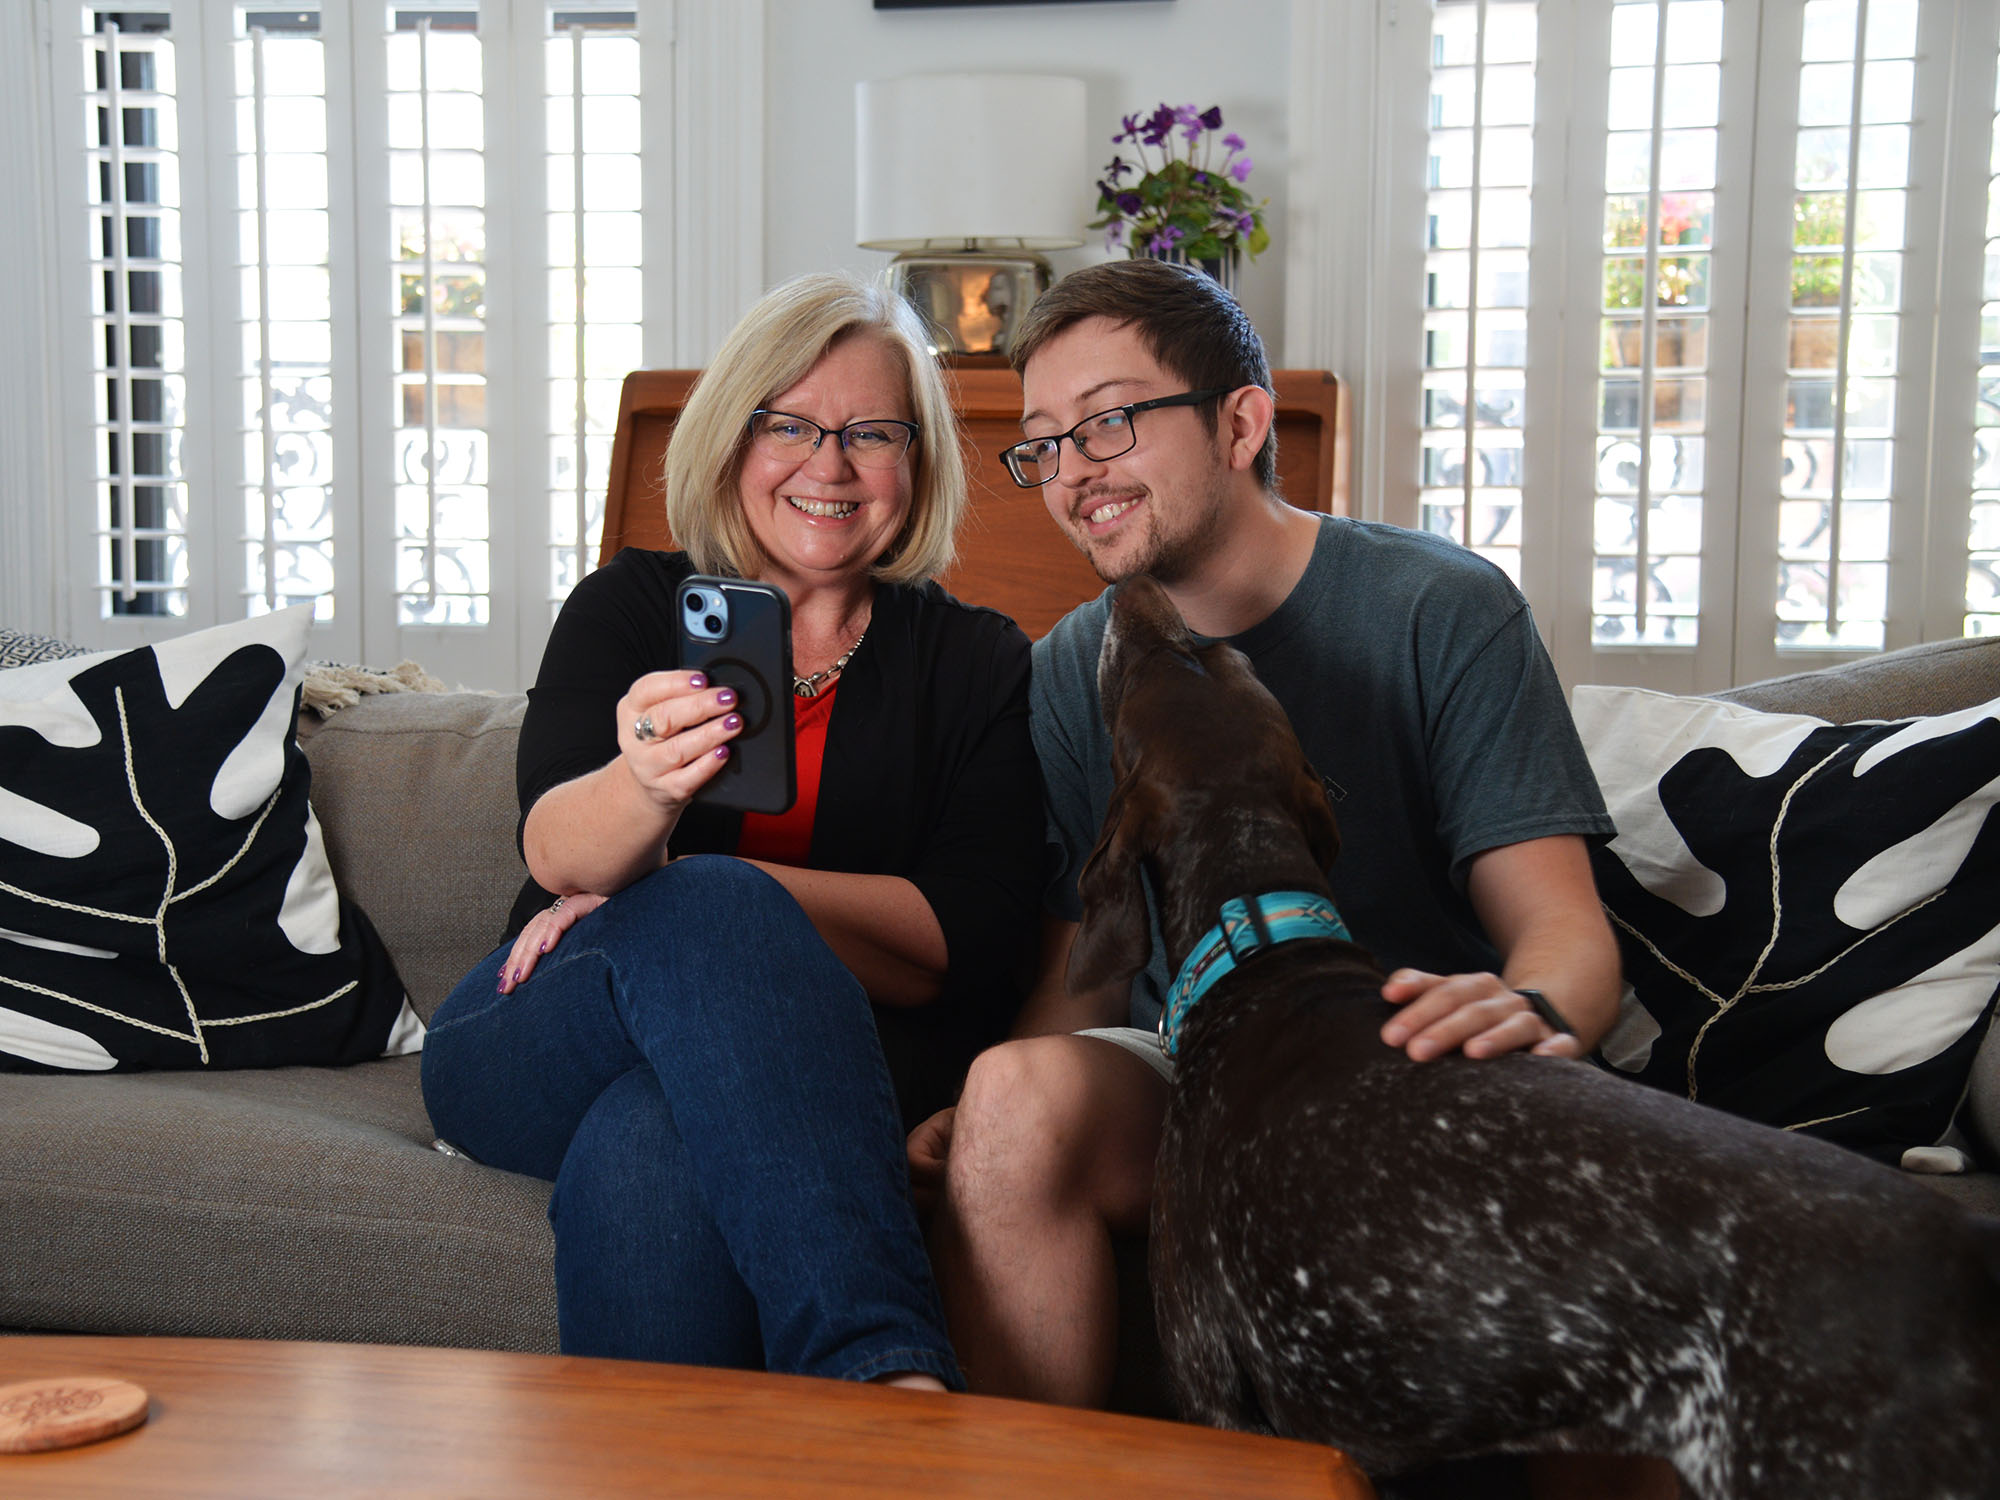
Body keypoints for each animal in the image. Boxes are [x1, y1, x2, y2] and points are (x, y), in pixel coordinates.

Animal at [1072, 576, 2000, 1500]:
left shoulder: (1216, 1393)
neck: (1263, 939)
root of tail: (1970, 1268)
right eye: (1220, 654)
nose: (1131, 588)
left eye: (1174, 658)